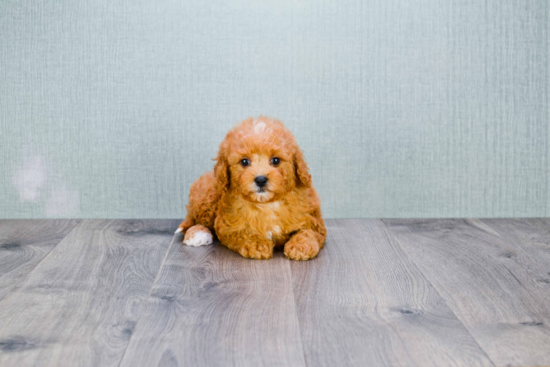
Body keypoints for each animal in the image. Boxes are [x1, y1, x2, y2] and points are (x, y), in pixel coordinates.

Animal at [176, 116, 328, 260]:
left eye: (276, 160)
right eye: (244, 162)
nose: (260, 180)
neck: (266, 203)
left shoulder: (313, 219)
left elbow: (308, 232)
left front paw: (301, 246)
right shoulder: (228, 226)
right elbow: (243, 232)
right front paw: (257, 244)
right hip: (207, 195)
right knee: (194, 220)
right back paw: (198, 234)